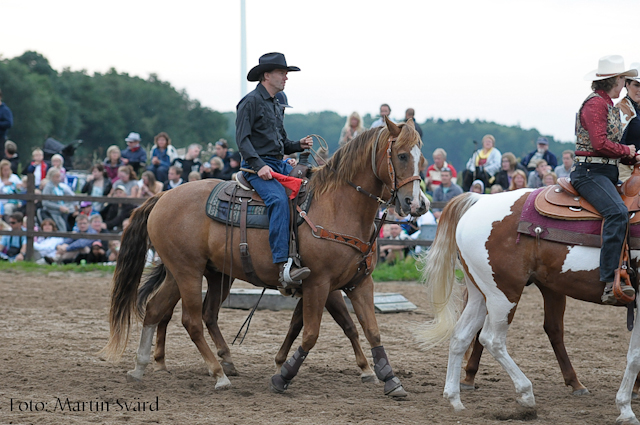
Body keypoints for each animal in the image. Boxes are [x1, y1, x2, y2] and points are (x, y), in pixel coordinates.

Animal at [102, 117, 428, 396]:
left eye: (422, 159)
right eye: (401, 155)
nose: (417, 204)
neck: (338, 207)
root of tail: (163, 196)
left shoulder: (358, 284)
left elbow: (369, 330)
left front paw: (388, 377)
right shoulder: (320, 284)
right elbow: (312, 332)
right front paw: (283, 375)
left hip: (191, 273)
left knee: (159, 310)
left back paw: (142, 366)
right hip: (188, 272)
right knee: (191, 320)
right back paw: (218, 373)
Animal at [418, 189, 640, 424]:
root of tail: (480, 199)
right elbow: (635, 356)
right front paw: (626, 409)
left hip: (482, 294)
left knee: (461, 336)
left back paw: (455, 398)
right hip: (504, 295)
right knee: (492, 339)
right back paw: (525, 393)